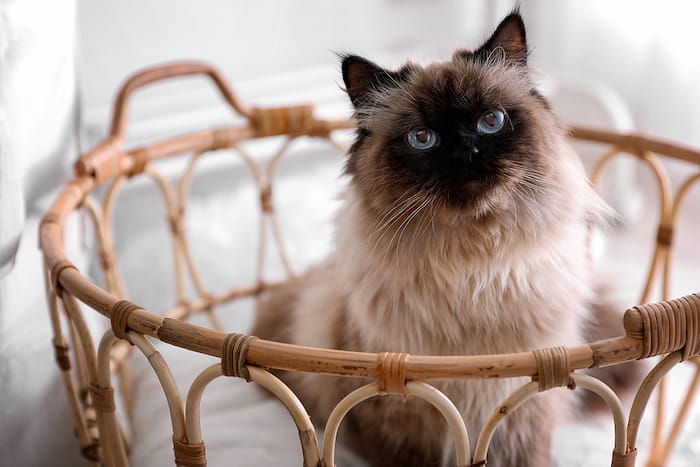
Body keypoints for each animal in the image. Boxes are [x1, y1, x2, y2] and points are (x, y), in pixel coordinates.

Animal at [252, 11, 616, 467]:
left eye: (491, 121)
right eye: (423, 138)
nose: (466, 153)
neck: (473, 271)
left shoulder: (527, 406)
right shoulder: (399, 421)